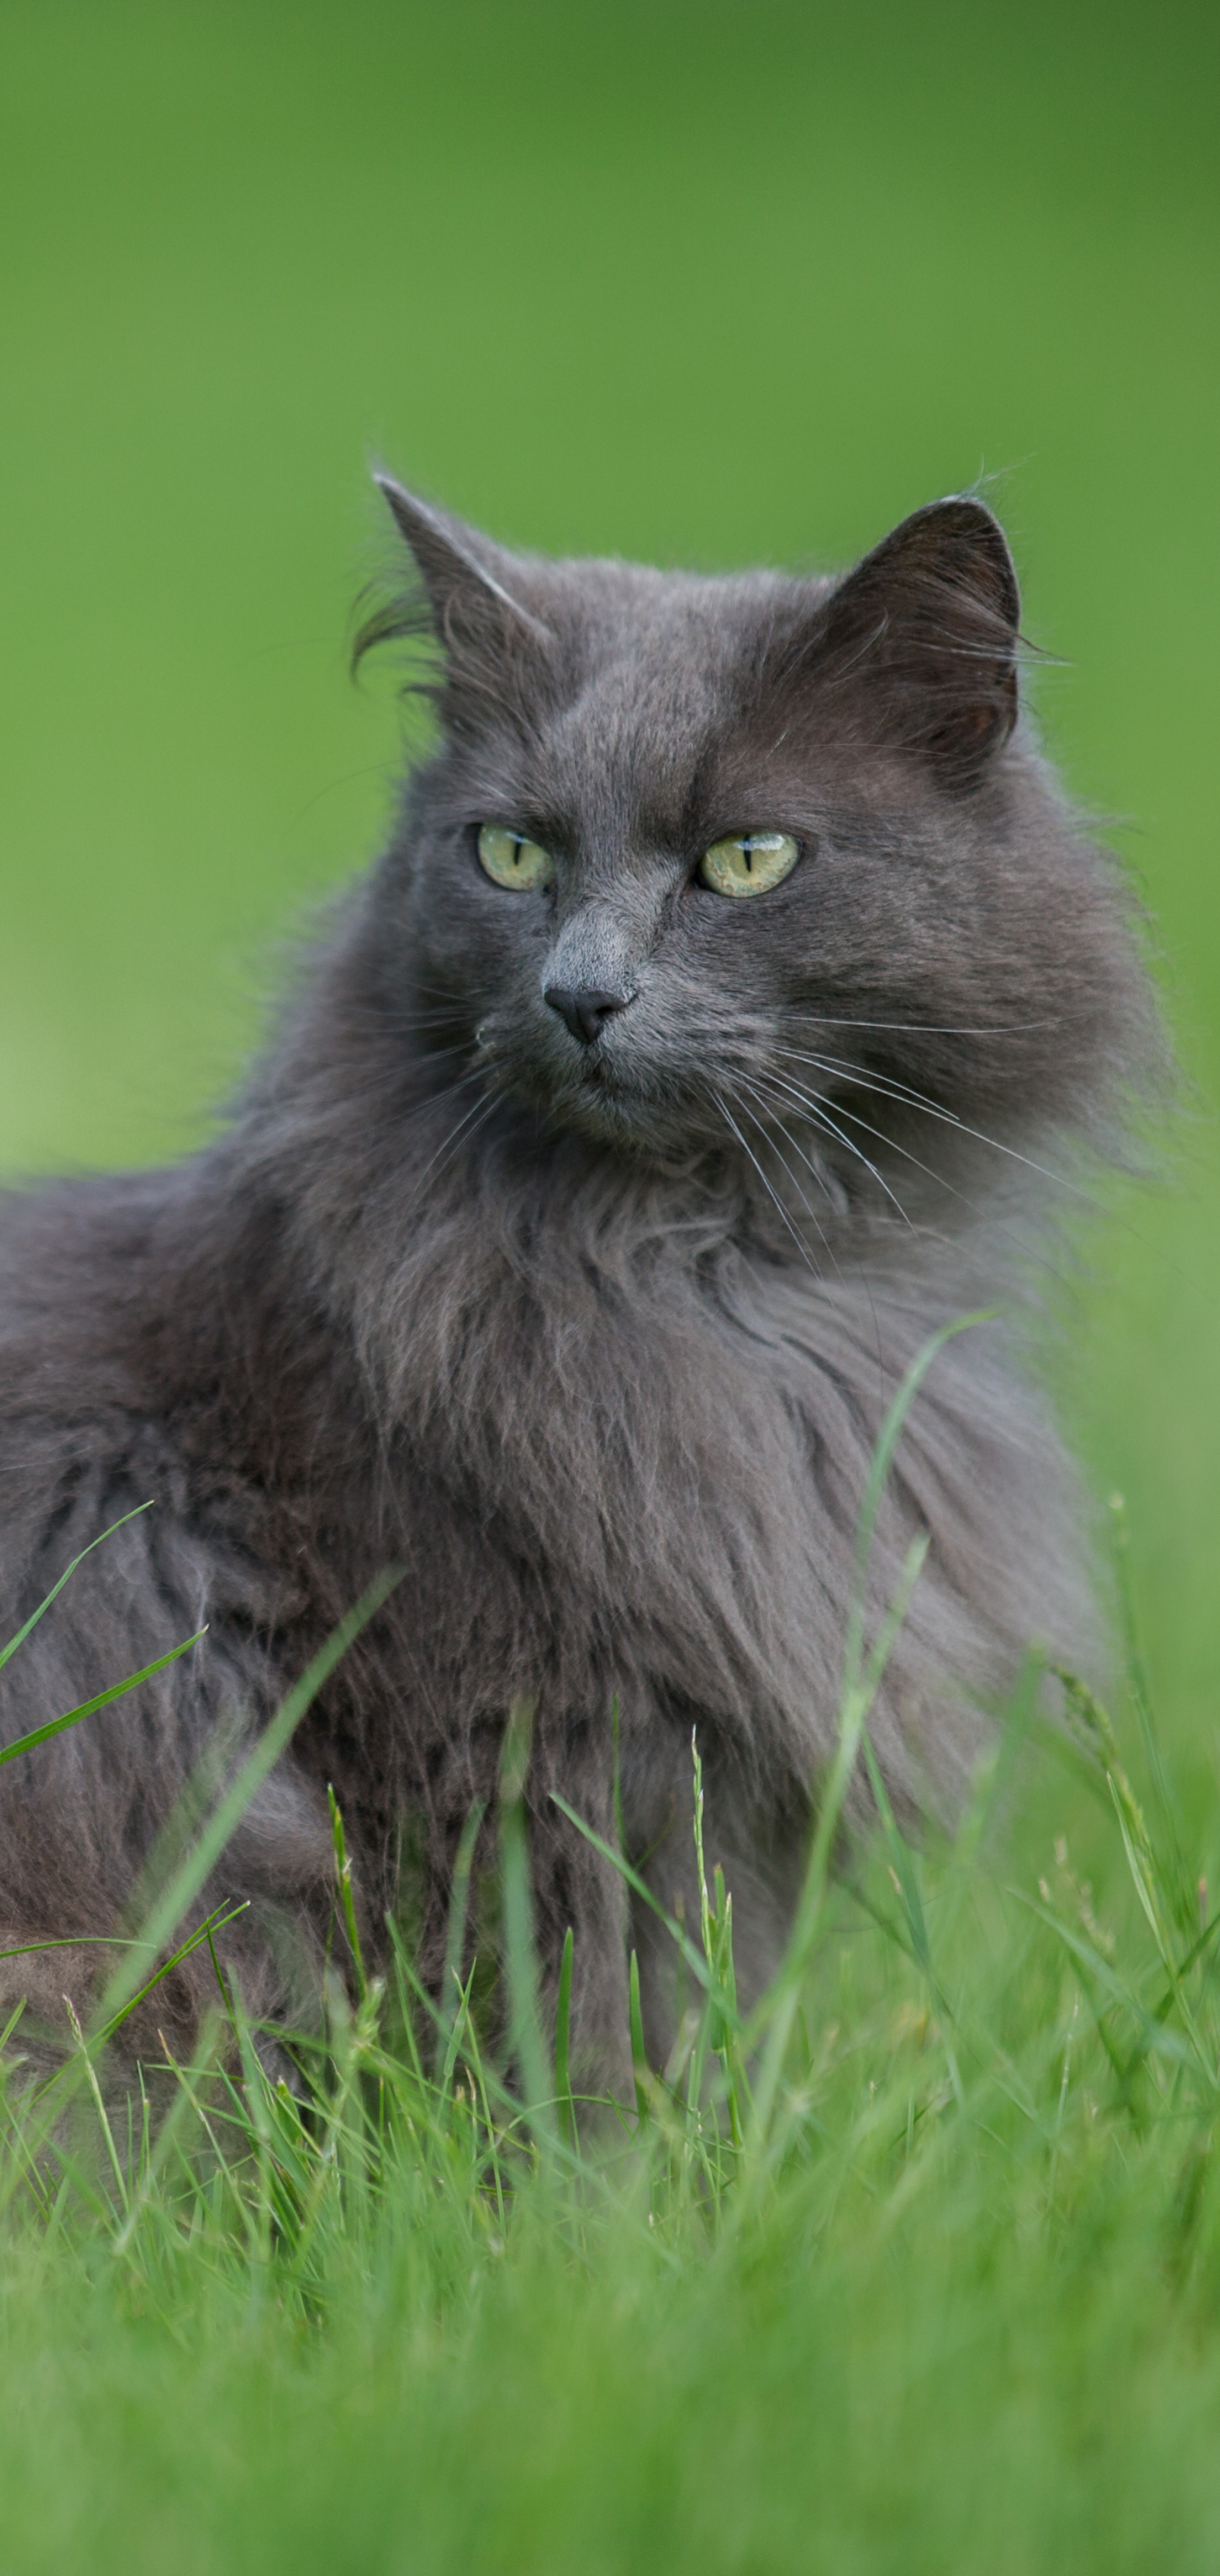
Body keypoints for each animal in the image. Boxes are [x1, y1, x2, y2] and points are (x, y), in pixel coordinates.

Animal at [0, 484, 1153, 2091]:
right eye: (509, 856)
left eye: (748, 858)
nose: (581, 994)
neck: (713, 1281)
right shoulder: (510, 1743)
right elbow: (570, 2036)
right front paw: (605, 2167)